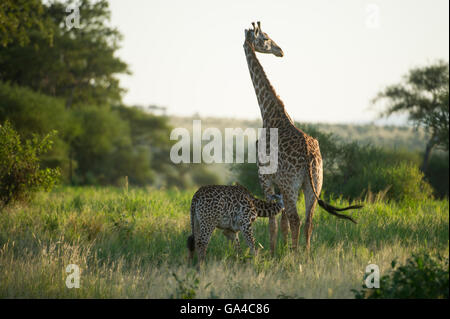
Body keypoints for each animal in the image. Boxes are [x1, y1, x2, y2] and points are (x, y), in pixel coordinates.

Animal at [243, 21, 362, 254]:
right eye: (266, 38)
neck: (270, 112)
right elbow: (282, 222)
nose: (280, 51)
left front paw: (273, 254)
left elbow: (274, 222)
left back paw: (295, 256)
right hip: (313, 182)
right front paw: (279, 252)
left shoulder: (266, 178)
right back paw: (304, 256)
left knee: (296, 219)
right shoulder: (281, 185)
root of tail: (309, 156)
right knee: (308, 220)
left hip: (293, 185)